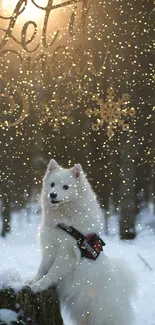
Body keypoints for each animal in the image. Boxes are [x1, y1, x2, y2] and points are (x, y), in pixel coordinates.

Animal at [30, 158, 135, 322]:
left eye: (65, 187)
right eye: (52, 184)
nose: (52, 194)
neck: (63, 222)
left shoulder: (66, 255)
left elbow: (52, 271)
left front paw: (40, 285)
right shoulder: (49, 247)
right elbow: (42, 268)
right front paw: (34, 280)